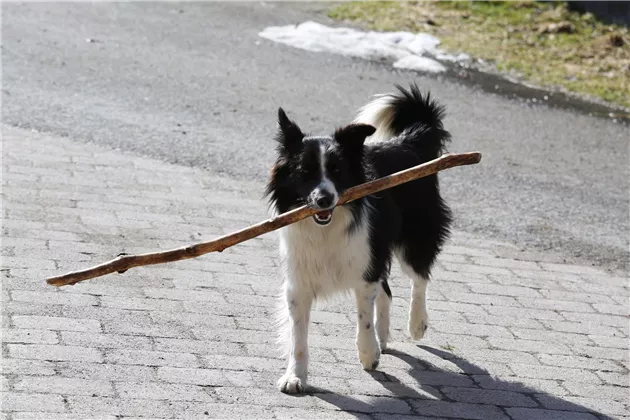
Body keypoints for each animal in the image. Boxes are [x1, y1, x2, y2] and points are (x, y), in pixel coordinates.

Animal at [266, 83, 454, 392]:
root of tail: (407, 142)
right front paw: (295, 376)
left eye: (337, 171)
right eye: (305, 172)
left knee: (419, 278)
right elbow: (298, 336)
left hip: (414, 237)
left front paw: (368, 354)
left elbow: (364, 317)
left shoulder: (364, 270)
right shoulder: (299, 281)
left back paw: (416, 324)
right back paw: (384, 337)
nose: (324, 199)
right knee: (388, 290)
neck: (326, 227)